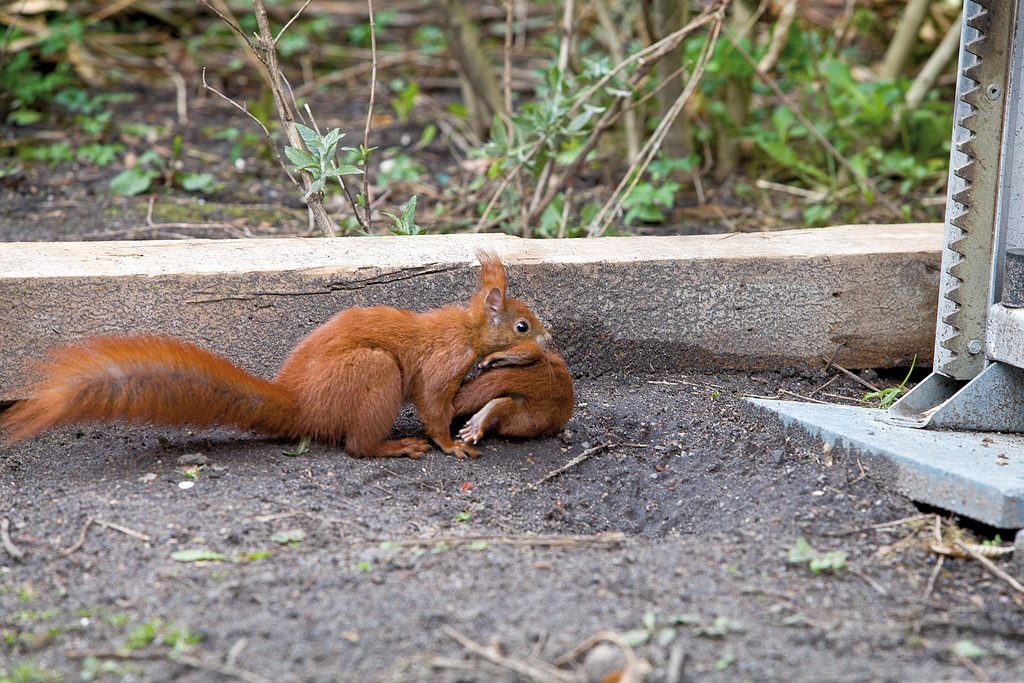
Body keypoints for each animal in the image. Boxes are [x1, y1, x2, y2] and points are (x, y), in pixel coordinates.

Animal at [0, 251, 550, 459]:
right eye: (522, 325)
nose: (546, 340)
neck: (467, 329)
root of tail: (301, 406)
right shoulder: (441, 363)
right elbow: (434, 405)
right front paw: (451, 443)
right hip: (372, 373)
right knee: (357, 446)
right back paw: (394, 447)